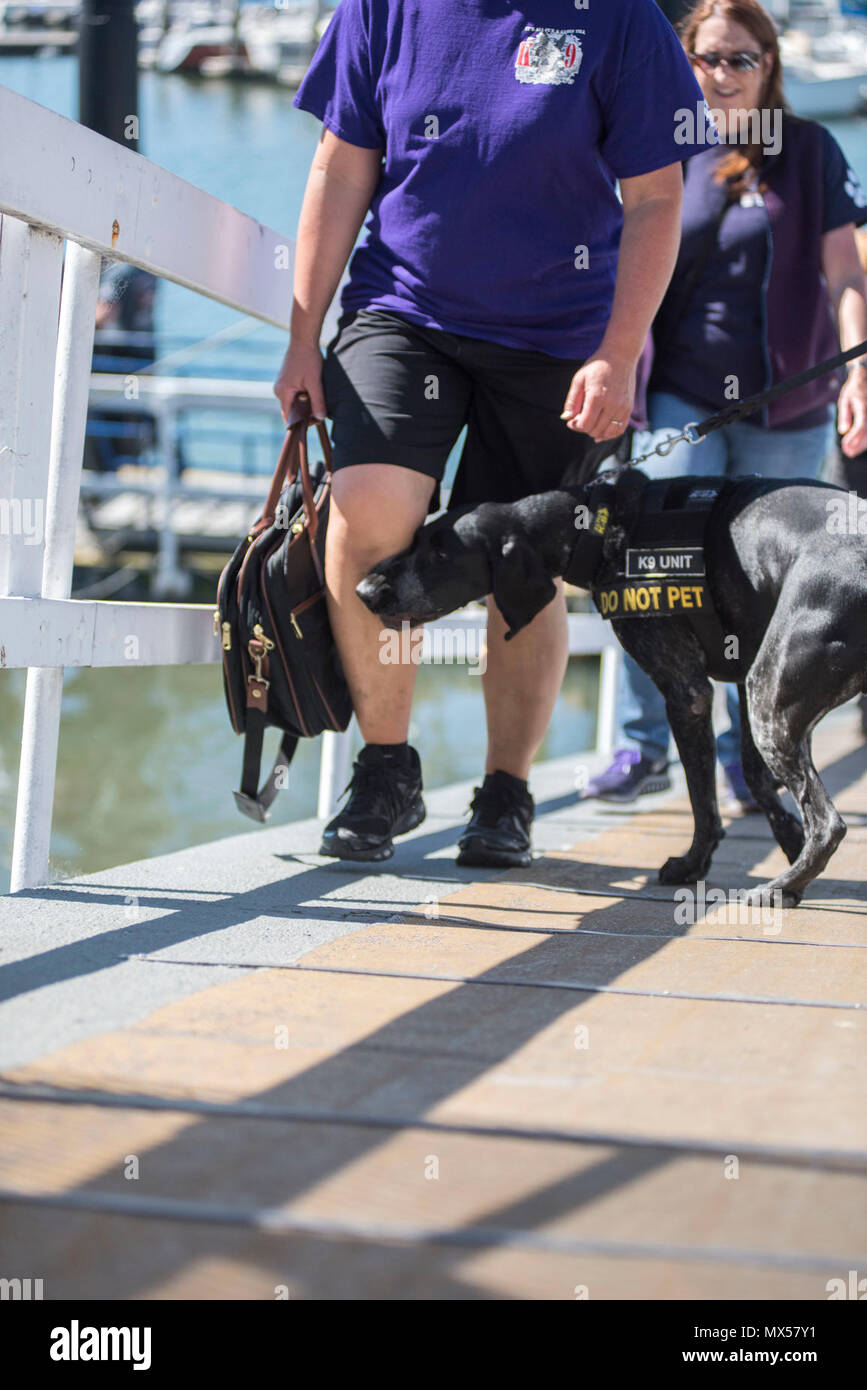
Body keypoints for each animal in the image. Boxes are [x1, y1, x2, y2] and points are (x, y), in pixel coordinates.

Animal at [355, 472, 861, 906]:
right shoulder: (741, 675)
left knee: (830, 824)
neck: (603, 527)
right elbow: (755, 778)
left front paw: (694, 864)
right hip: (766, 694)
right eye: (417, 541)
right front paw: (787, 838)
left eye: (443, 554)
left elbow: (702, 799)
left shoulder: (689, 693)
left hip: (768, 703)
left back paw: (781, 887)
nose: (365, 589)